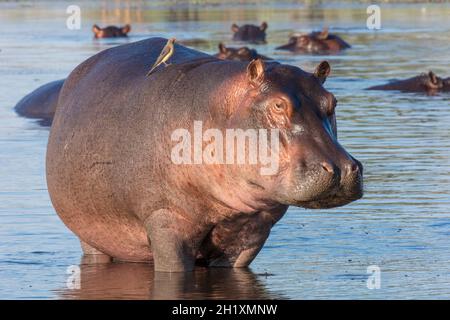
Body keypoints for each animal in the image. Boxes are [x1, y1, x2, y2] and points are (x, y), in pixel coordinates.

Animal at [46, 37, 362, 272]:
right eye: (278, 105)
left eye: (332, 102)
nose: (339, 168)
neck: (220, 106)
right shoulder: (166, 221)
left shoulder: (253, 230)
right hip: (90, 235)